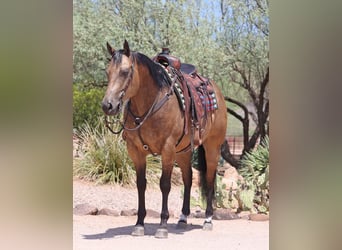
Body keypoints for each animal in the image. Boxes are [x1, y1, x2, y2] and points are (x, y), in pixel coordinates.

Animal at [103, 39, 228, 238]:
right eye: (107, 72)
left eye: (125, 71)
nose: (108, 105)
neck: (151, 102)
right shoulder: (136, 152)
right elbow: (141, 184)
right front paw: (139, 224)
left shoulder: (167, 149)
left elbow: (165, 184)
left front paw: (162, 225)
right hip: (183, 151)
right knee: (188, 178)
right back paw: (183, 218)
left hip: (212, 147)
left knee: (209, 178)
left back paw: (208, 219)